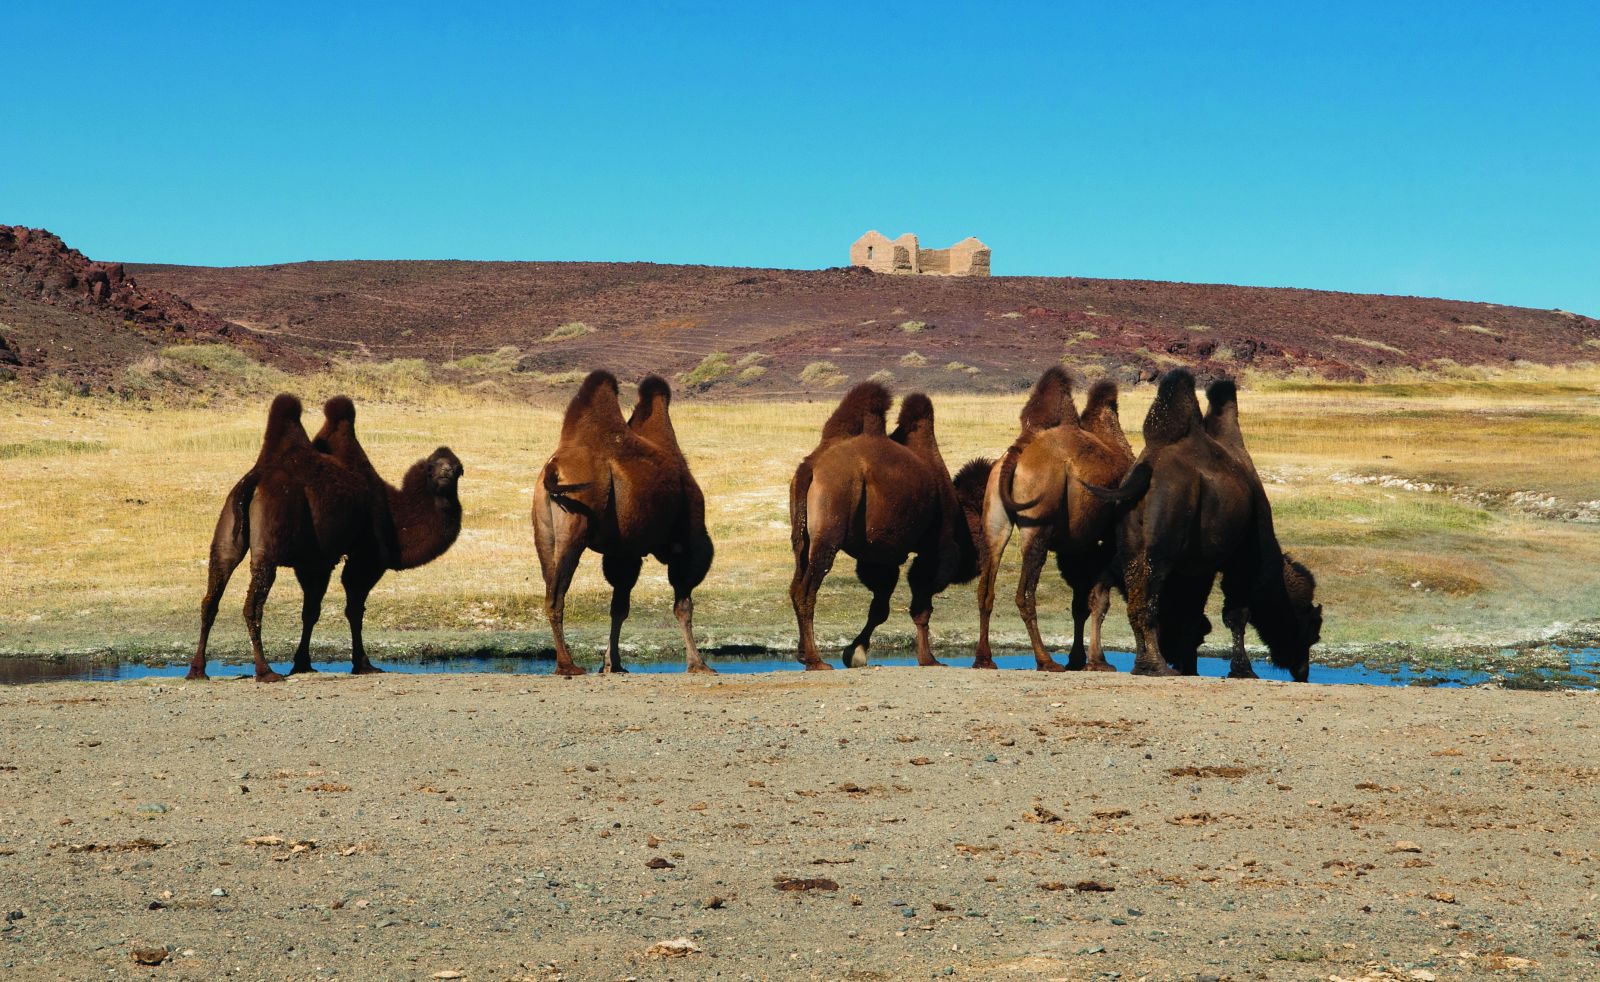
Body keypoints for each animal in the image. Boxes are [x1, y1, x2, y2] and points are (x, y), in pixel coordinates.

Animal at [188, 396, 464, 681]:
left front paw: (303, 663)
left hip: (226, 532)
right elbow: (354, 609)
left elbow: (310, 612)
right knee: (252, 604)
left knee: (211, 597)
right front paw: (363, 664)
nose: (446, 472)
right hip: (269, 546)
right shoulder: (365, 558)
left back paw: (198, 670)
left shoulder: (314, 562)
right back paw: (265, 671)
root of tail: (255, 481)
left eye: (458, 468)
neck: (394, 513)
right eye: (431, 467)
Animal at [534, 371, 716, 678]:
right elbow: (683, 604)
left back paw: (566, 662)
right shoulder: (682, 542)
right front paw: (698, 664)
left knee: (550, 586)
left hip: (544, 534)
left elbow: (618, 606)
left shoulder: (623, 552)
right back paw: (568, 665)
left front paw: (612, 663)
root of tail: (554, 470)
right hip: (575, 528)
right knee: (557, 596)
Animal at [790, 382, 985, 668]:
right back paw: (817, 661)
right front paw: (929, 659)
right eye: (981, 528)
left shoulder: (882, 556)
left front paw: (855, 653)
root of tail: (812, 467)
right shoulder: (935, 550)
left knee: (796, 584)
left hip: (802, 539)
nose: (980, 562)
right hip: (830, 527)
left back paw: (805, 654)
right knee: (808, 589)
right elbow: (921, 607)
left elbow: (880, 608)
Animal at [960, 366, 1139, 674]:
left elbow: (1080, 604)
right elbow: (1099, 600)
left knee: (986, 587)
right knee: (1024, 594)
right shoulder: (1106, 539)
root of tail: (1018, 453)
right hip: (1038, 523)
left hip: (995, 516)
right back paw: (1045, 660)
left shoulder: (1080, 545)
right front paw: (1098, 661)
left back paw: (984, 659)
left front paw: (1079, 659)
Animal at [1088, 371, 1324, 684]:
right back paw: (1157, 666)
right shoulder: (1241, 558)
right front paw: (1243, 670)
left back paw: (1142, 665)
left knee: (1132, 596)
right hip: (1162, 546)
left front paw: (1191, 666)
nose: (1302, 671)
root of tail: (1147, 471)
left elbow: (1192, 617)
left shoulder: (1197, 568)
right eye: (1312, 630)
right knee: (1147, 600)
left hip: (1131, 543)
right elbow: (1236, 614)